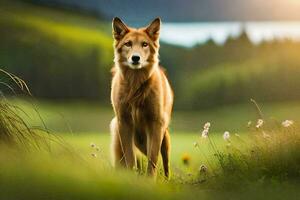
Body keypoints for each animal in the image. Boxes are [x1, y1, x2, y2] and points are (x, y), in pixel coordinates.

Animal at [110, 16, 173, 177]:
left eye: (145, 44)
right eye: (128, 44)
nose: (135, 58)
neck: (135, 86)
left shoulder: (155, 125)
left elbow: (153, 158)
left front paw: (150, 179)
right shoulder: (124, 123)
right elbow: (130, 158)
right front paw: (130, 177)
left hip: (164, 138)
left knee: (165, 163)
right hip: (127, 138)